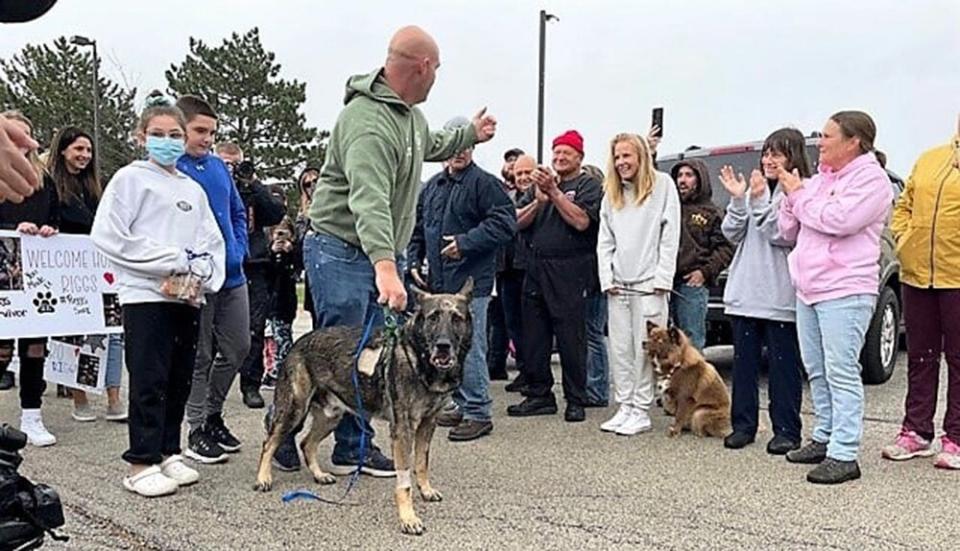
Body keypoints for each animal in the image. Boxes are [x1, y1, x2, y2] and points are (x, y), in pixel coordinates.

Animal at [255, 278, 476, 536]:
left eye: (456, 318)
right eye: (433, 318)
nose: (443, 346)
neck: (419, 360)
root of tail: (298, 342)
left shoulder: (427, 425)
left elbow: (421, 463)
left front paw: (426, 490)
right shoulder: (403, 431)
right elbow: (404, 483)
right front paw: (408, 518)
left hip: (331, 416)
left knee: (306, 443)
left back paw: (319, 475)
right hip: (295, 409)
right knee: (269, 442)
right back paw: (263, 478)